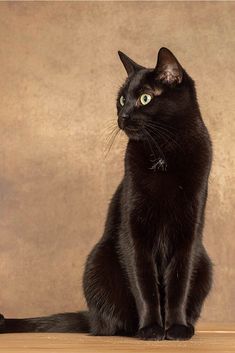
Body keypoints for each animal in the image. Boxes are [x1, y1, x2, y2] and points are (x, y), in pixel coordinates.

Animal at [0, 46, 213, 338]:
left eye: (145, 98)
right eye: (122, 99)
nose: (122, 116)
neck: (163, 153)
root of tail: (91, 318)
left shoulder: (189, 232)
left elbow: (179, 284)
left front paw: (177, 328)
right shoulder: (132, 230)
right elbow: (144, 284)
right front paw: (151, 329)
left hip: (205, 265)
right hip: (98, 261)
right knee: (112, 324)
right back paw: (130, 329)